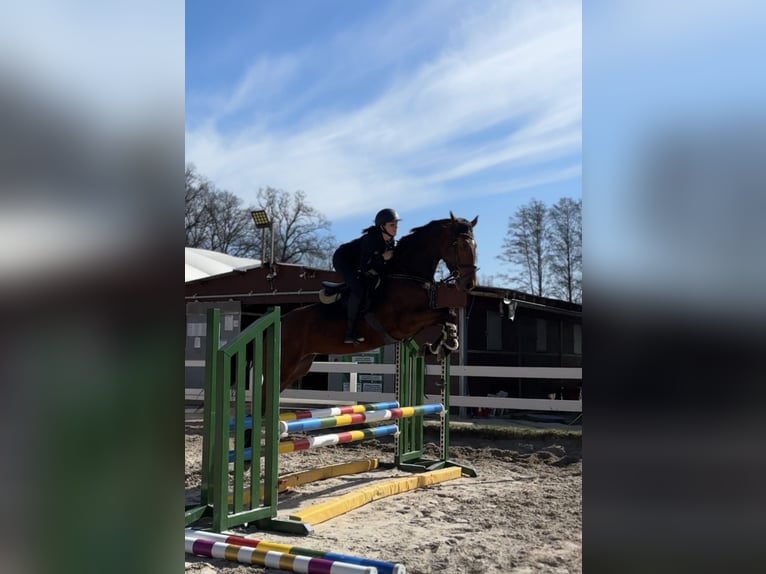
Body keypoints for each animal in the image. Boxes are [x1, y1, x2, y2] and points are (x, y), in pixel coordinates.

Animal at [277, 211, 479, 394]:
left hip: (300, 367)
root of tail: (282, 320)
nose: (469, 284)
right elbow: (446, 313)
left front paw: (441, 344)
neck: (407, 274)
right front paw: (449, 341)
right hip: (286, 366)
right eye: (460, 245)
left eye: (475, 245)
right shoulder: (404, 323)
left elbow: (447, 314)